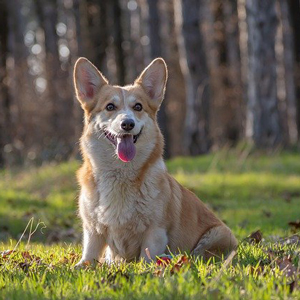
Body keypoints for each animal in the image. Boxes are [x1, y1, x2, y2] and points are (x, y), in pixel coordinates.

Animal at [72, 57, 237, 266]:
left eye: (138, 107)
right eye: (110, 107)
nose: (128, 124)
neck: (120, 174)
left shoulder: (155, 231)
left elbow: (147, 257)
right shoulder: (93, 230)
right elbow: (89, 255)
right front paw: (82, 266)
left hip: (217, 234)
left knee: (197, 254)